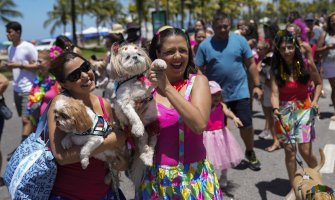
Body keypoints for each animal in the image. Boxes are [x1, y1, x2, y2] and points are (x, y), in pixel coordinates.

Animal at [111, 43, 167, 188]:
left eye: (139, 54)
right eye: (127, 57)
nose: (135, 57)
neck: (134, 79)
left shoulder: (148, 89)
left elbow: (153, 81)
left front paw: (160, 63)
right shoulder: (126, 103)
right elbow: (134, 116)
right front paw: (137, 127)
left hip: (154, 129)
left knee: (150, 146)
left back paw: (148, 158)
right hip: (141, 136)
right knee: (143, 145)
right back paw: (144, 155)